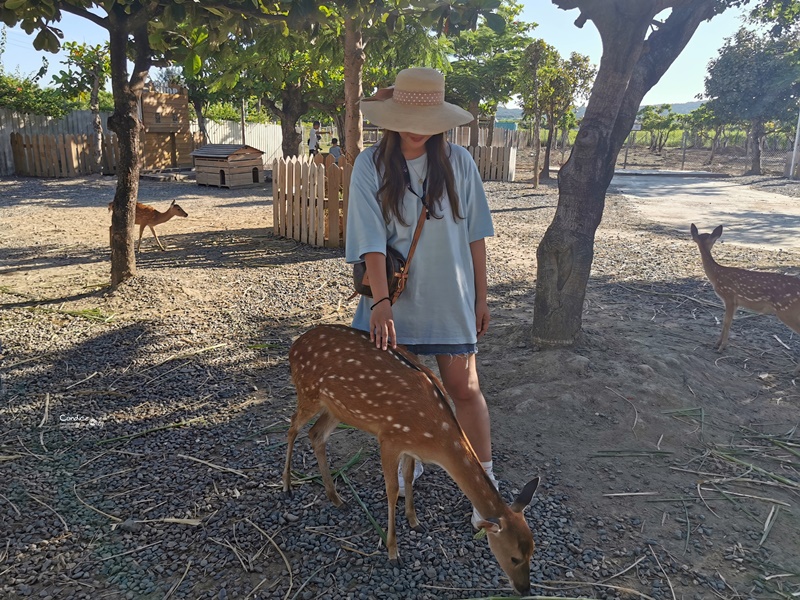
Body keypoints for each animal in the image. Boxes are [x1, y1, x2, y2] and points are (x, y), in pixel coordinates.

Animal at [284, 324, 540, 596]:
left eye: (533, 551)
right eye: (514, 557)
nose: (525, 589)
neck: (435, 439)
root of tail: (294, 346)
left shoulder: (409, 446)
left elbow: (408, 477)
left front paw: (415, 522)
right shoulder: (389, 438)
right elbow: (392, 490)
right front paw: (393, 552)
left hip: (337, 407)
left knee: (315, 434)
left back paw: (336, 498)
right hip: (308, 392)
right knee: (292, 426)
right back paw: (287, 485)